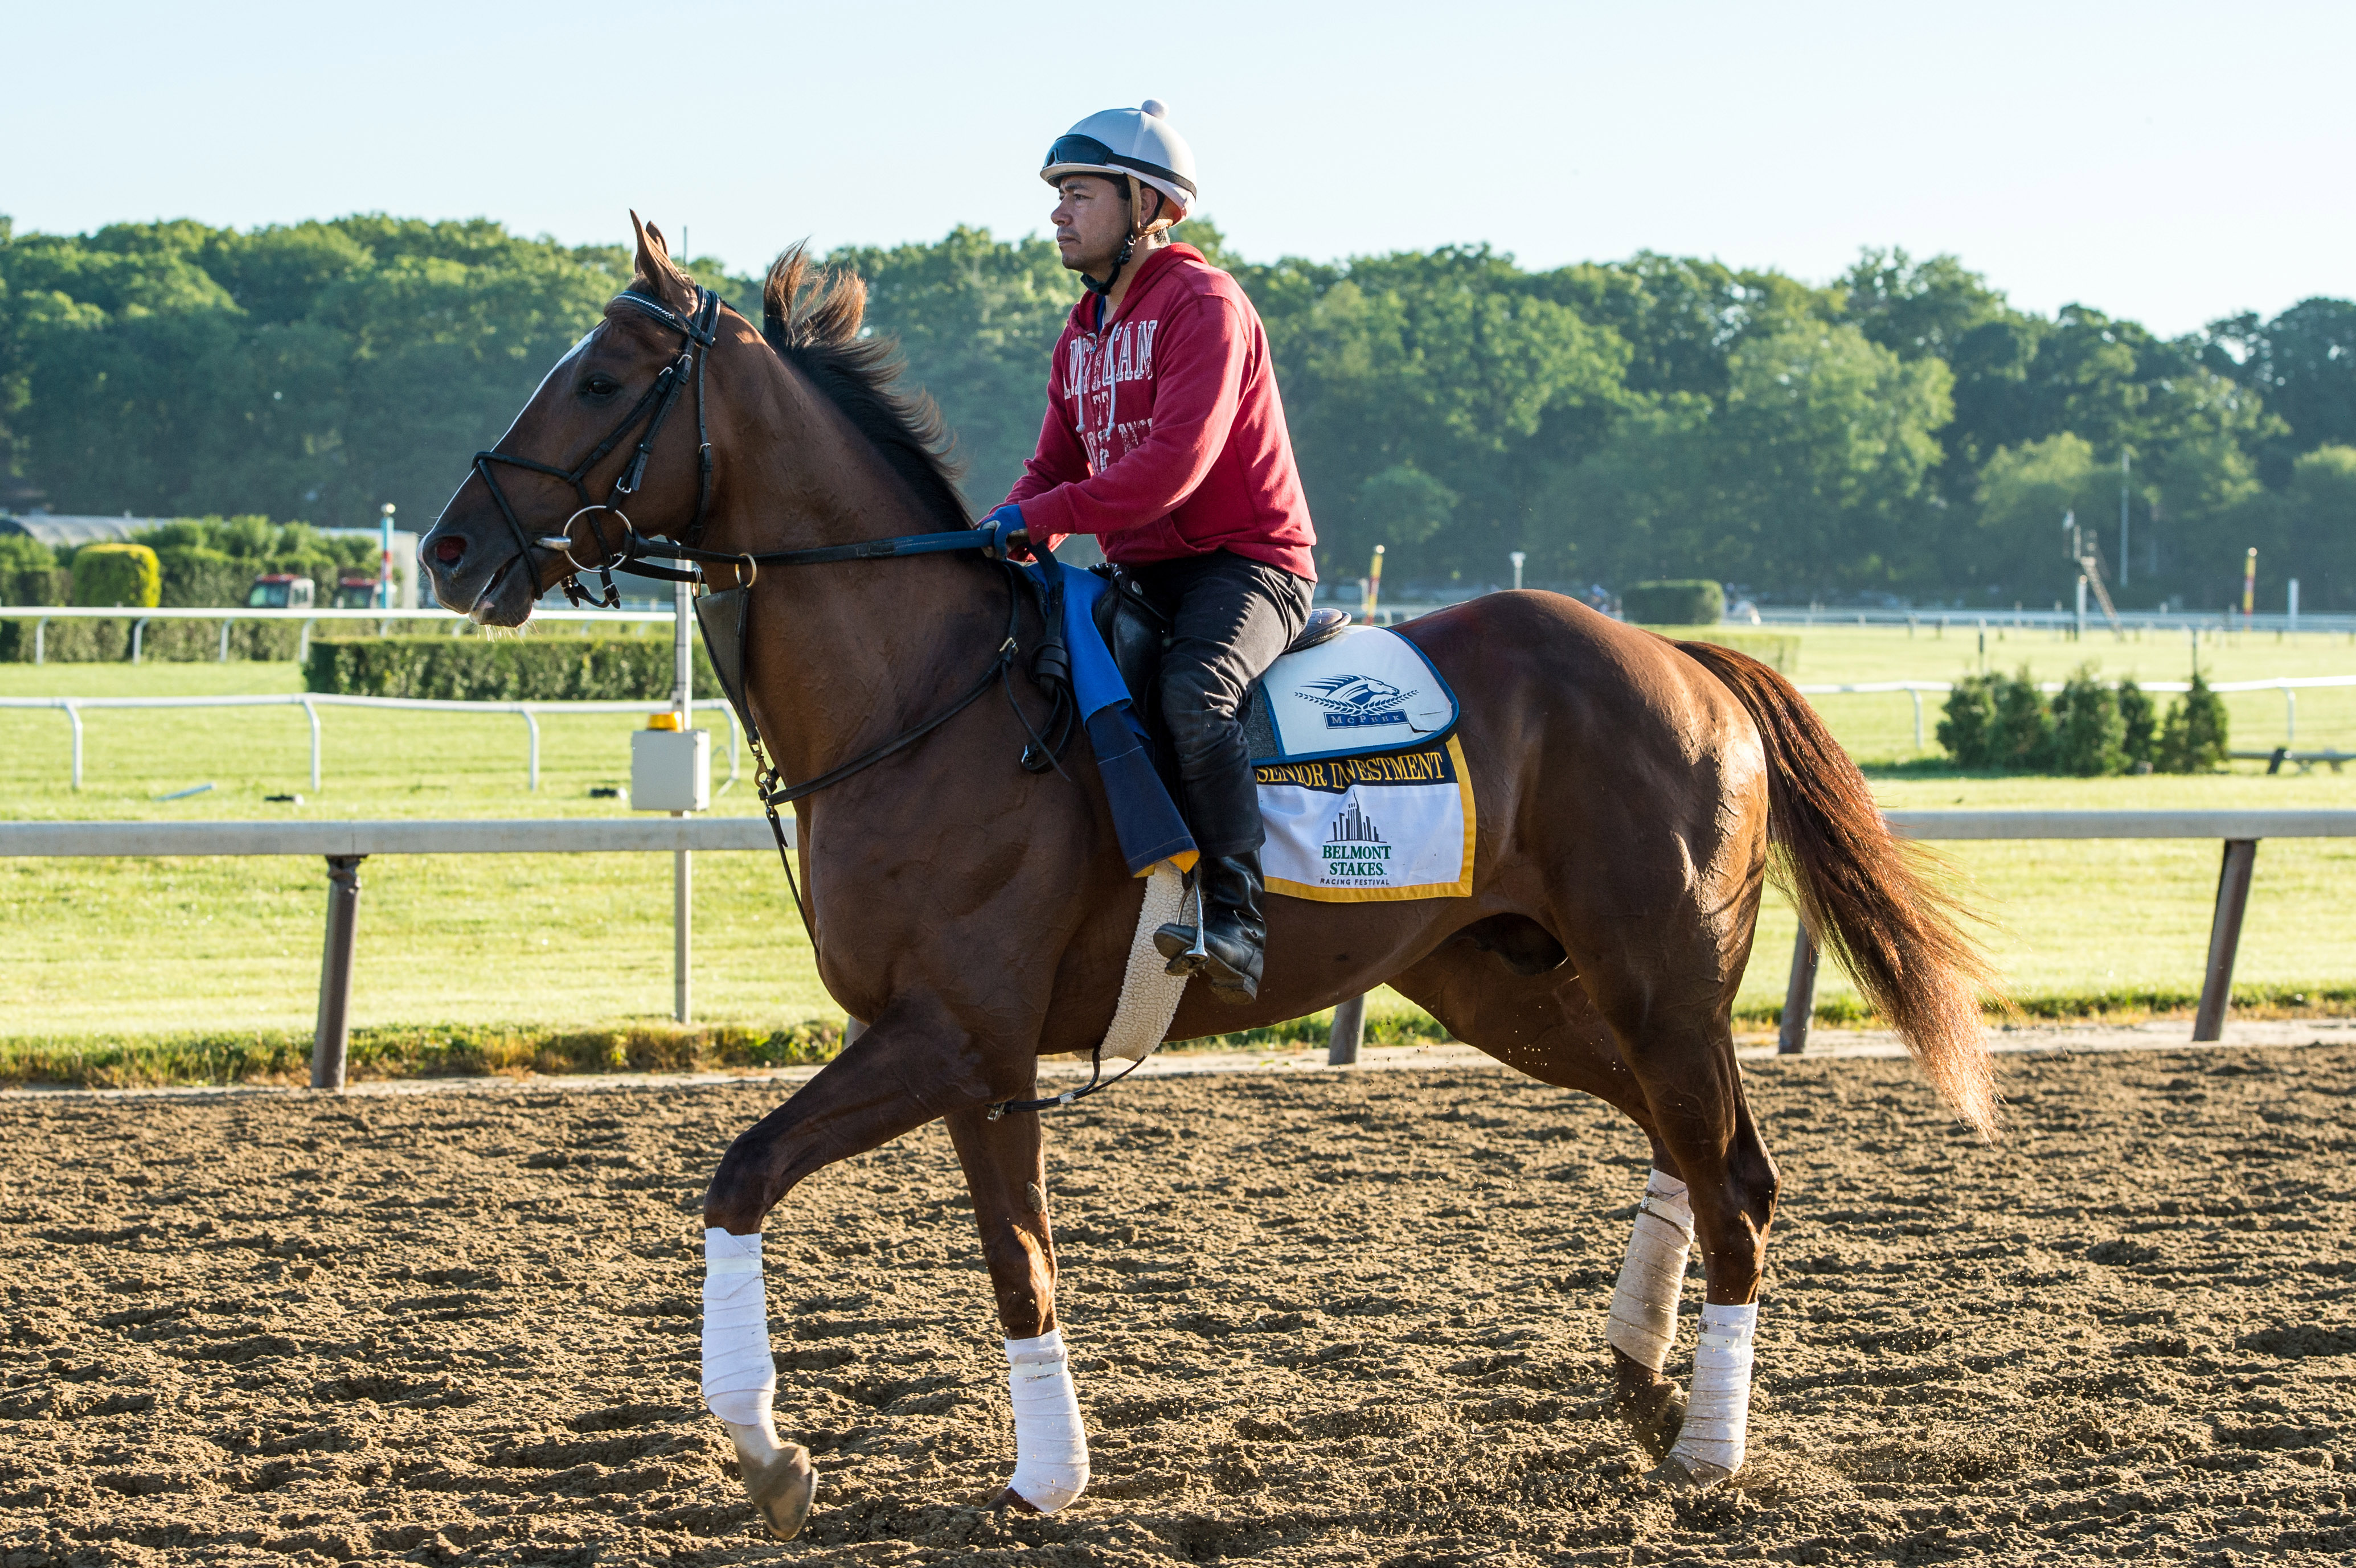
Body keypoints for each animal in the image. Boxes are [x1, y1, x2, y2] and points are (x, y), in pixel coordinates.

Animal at [419, 214, 1988, 1535]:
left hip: (1658, 977)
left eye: (601, 378)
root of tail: (1684, 659)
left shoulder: (954, 1036)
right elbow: (960, 1242)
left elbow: (794, 1188)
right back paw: (1643, 1378)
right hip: (1506, 985)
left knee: (1737, 1177)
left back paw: (1710, 1447)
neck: (925, 694)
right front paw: (989, 1468)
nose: (448, 547)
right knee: (1683, 1146)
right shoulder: (968, 1058)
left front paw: (812, 1454)